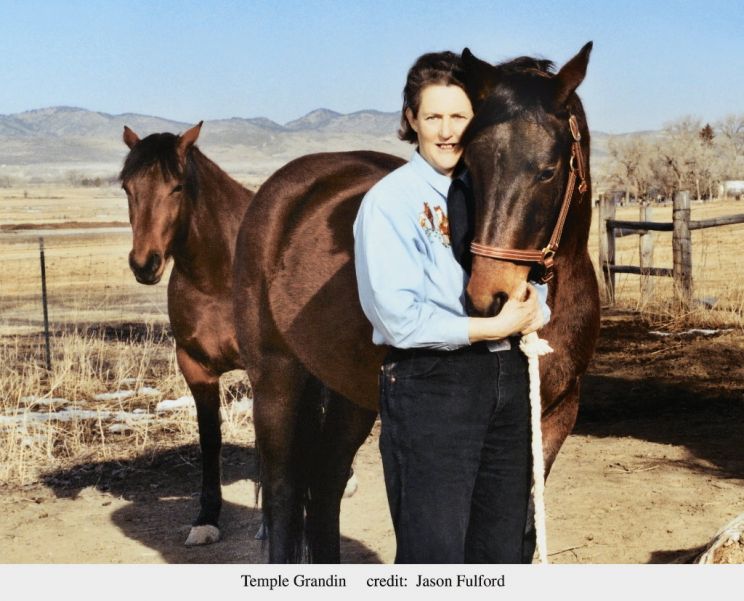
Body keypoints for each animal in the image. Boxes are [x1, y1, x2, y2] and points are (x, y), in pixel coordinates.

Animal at [119, 122, 253, 544]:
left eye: (176, 187)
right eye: (127, 188)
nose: (145, 264)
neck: (220, 276)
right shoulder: (195, 367)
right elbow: (210, 440)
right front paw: (207, 518)